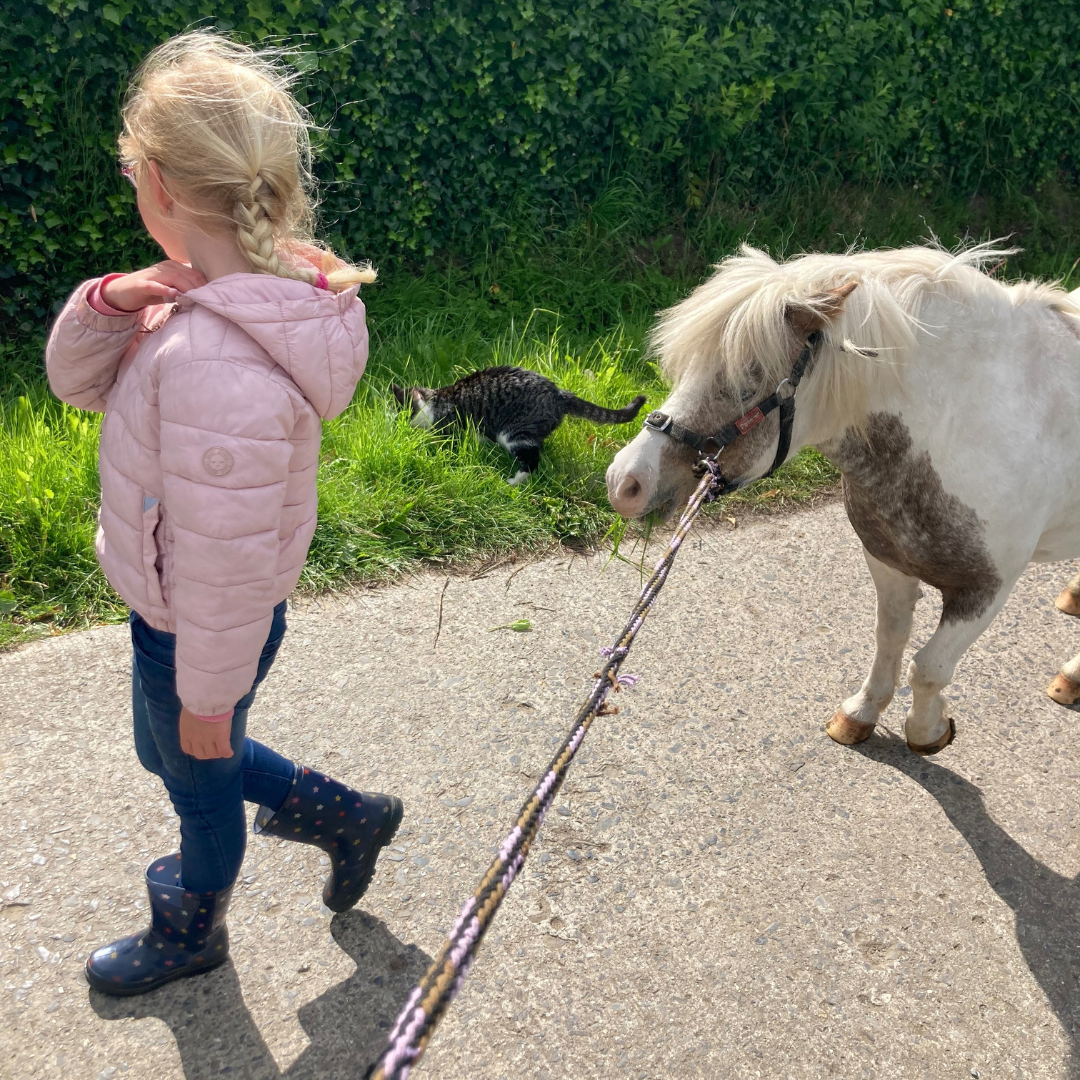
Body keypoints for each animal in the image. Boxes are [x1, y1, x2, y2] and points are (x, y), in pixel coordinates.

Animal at [606, 243, 1080, 755]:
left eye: (749, 377)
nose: (624, 482)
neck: (967, 424)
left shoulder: (988, 589)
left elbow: (930, 667)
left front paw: (928, 731)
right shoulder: (887, 559)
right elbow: (889, 639)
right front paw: (861, 713)